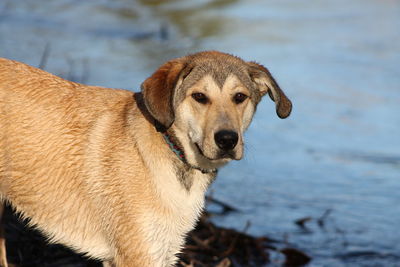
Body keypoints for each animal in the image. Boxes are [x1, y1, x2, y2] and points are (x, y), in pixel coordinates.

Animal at [0, 51, 292, 266]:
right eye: (199, 97)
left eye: (240, 97)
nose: (228, 140)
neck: (170, 147)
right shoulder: (139, 253)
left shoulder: (163, 249)